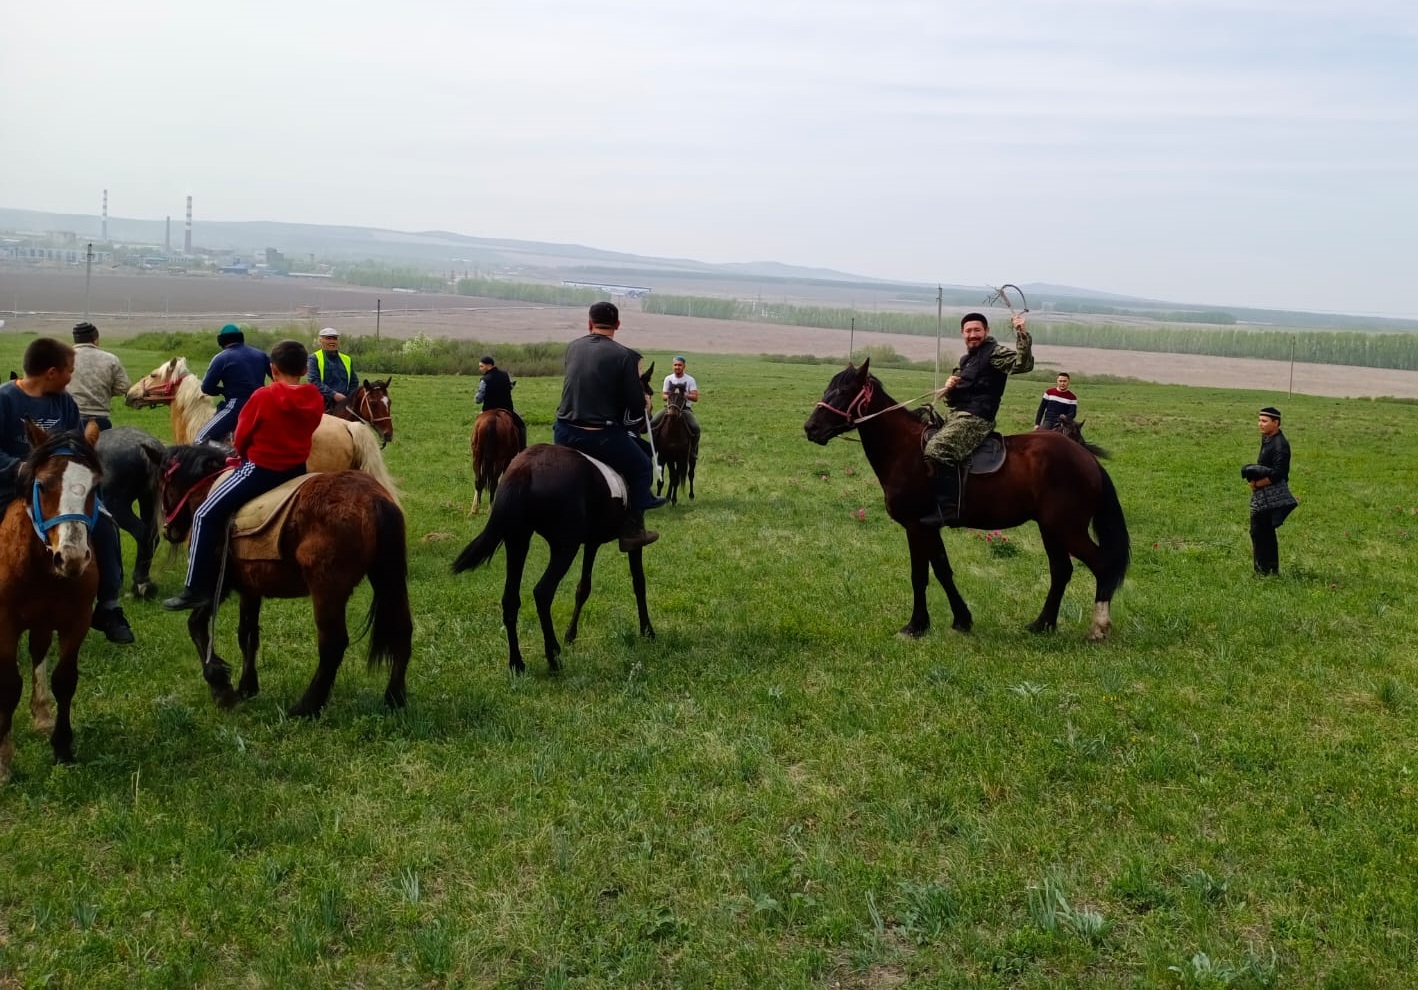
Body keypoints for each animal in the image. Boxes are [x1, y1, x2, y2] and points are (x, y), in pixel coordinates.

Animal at [0, 416, 102, 777]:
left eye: (95, 487)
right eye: (42, 485)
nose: (71, 557)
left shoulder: (77, 620)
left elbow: (65, 679)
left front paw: (62, 746)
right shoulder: (4, 624)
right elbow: (9, 685)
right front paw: (3, 760)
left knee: (38, 653)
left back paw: (42, 713)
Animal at [163, 442, 414, 712]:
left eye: (165, 481)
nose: (169, 531)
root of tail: (373, 498)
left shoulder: (215, 586)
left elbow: (196, 625)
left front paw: (220, 685)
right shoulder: (250, 589)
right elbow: (247, 635)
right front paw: (246, 687)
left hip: (327, 590)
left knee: (333, 644)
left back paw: (307, 706)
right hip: (386, 578)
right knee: (403, 630)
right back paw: (394, 697)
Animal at [450, 365, 655, 675]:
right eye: (646, 393)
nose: (647, 421)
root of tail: (524, 469)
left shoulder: (591, 542)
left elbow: (583, 587)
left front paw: (571, 634)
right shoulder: (629, 541)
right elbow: (638, 582)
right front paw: (647, 630)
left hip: (518, 540)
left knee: (510, 598)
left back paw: (517, 662)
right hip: (563, 546)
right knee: (542, 592)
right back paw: (552, 655)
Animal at [811, 363, 1128, 641]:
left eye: (843, 391)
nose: (810, 428)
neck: (905, 449)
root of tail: (1086, 458)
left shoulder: (915, 526)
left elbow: (919, 575)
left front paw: (915, 626)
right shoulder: (930, 527)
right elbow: (942, 571)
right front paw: (961, 620)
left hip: (1067, 529)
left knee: (1102, 565)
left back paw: (1099, 628)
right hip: (1051, 529)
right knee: (1062, 571)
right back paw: (1043, 624)